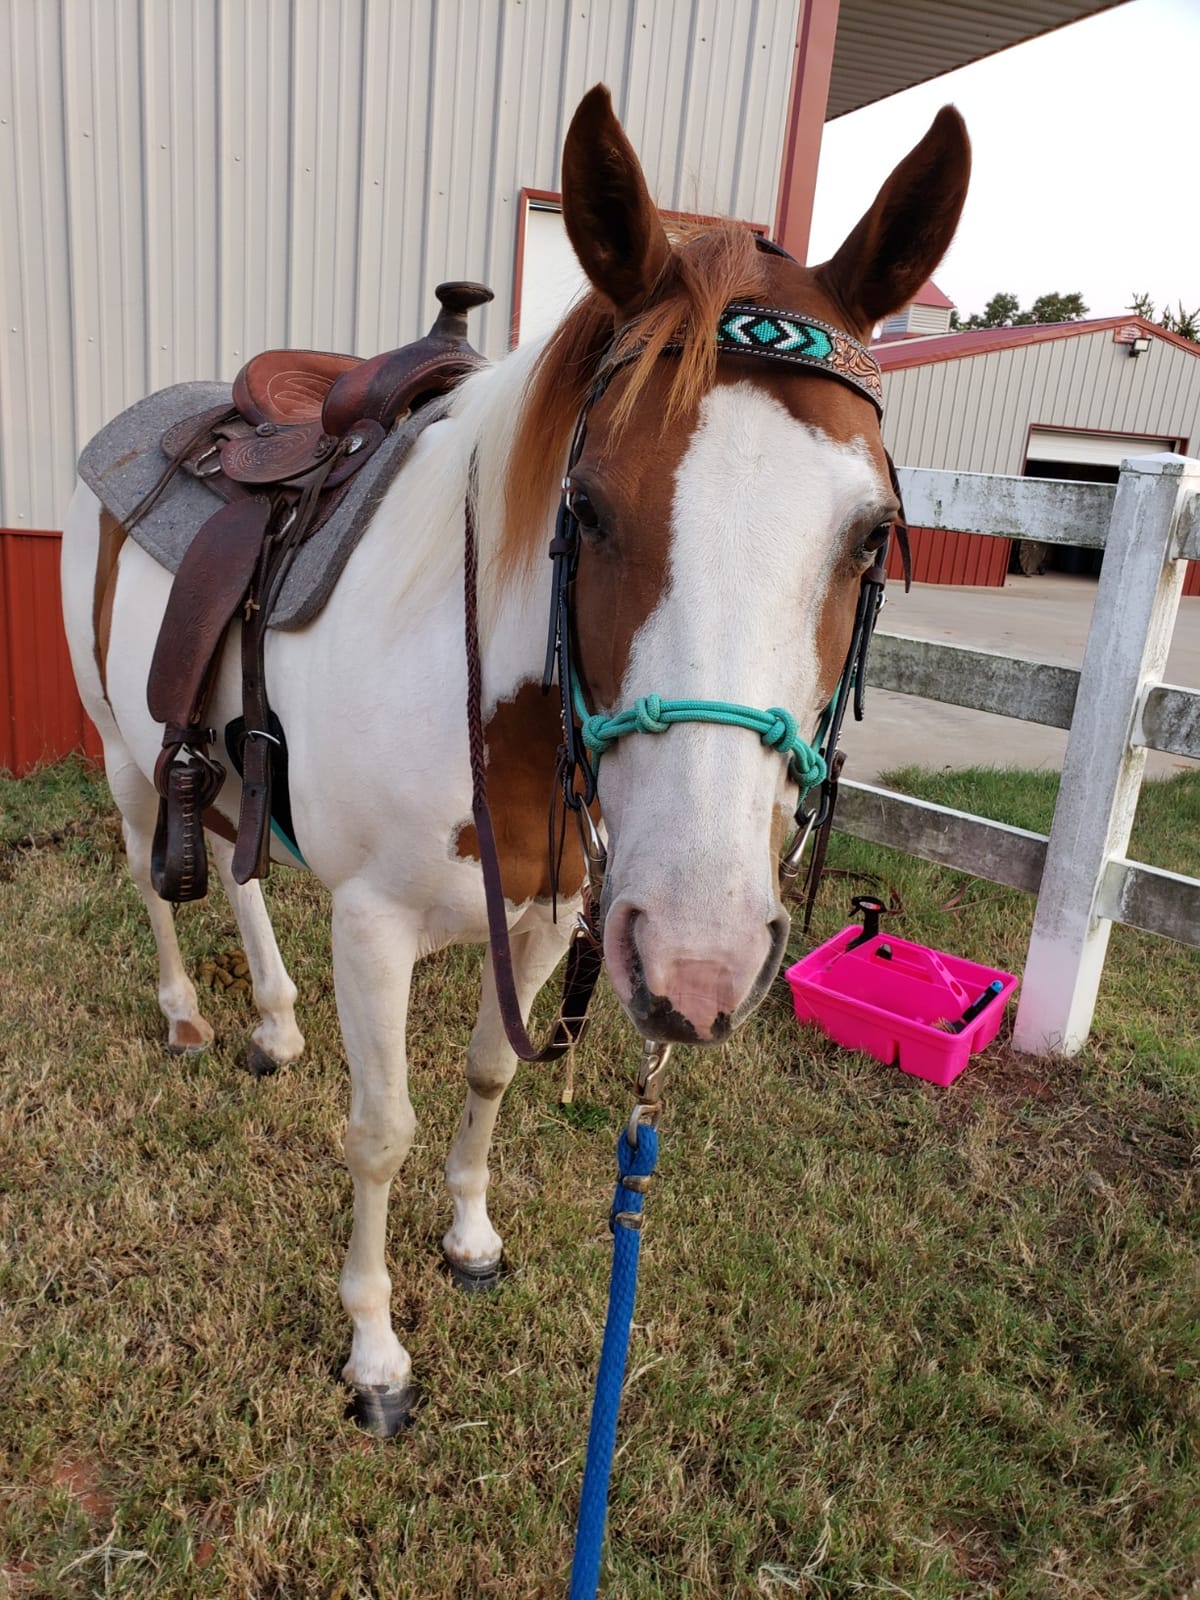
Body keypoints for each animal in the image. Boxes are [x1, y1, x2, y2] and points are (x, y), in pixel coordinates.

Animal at [60, 85, 969, 1434]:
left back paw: (273, 1023)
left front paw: (473, 1240)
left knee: (235, 868)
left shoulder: (550, 912)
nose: (701, 961)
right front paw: (375, 1352)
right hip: (130, 749)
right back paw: (186, 1016)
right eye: (584, 508)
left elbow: (491, 1073)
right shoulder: (375, 926)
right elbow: (380, 1129)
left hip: (227, 765)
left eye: (870, 535)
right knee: (153, 877)